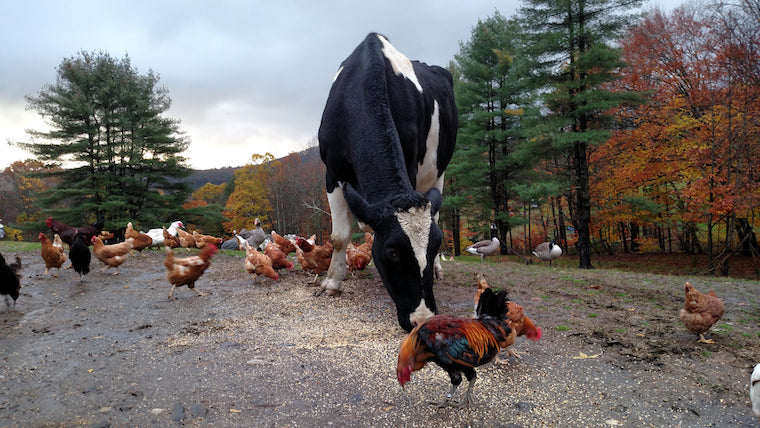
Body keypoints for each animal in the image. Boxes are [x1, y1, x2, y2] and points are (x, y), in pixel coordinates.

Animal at [317, 33, 457, 332]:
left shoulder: (411, 165)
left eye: (435, 246)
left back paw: (439, 271)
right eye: (392, 252)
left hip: (439, 173)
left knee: (437, 214)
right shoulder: (332, 172)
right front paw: (332, 282)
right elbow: (339, 236)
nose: (422, 319)